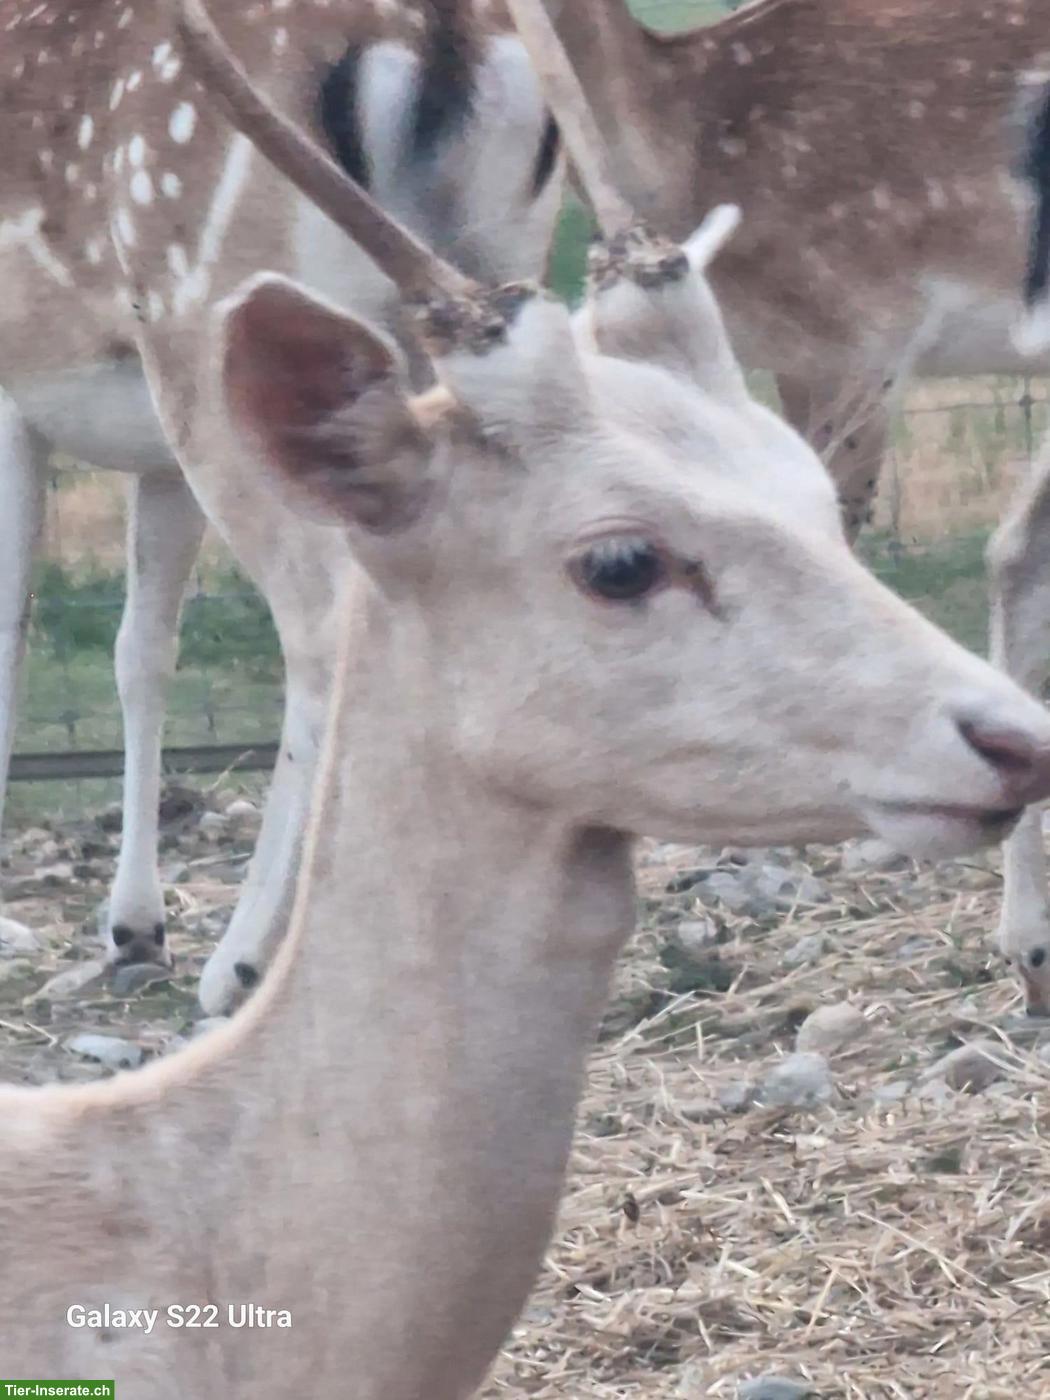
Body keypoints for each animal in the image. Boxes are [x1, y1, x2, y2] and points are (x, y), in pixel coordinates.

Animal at [0, 0, 563, 1013]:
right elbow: (141, 654)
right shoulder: (152, 455)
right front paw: (133, 930)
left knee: (322, 621)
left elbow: (13, 638)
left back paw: (244, 961)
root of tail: (441, 37)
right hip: (488, 293)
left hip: (213, 326)